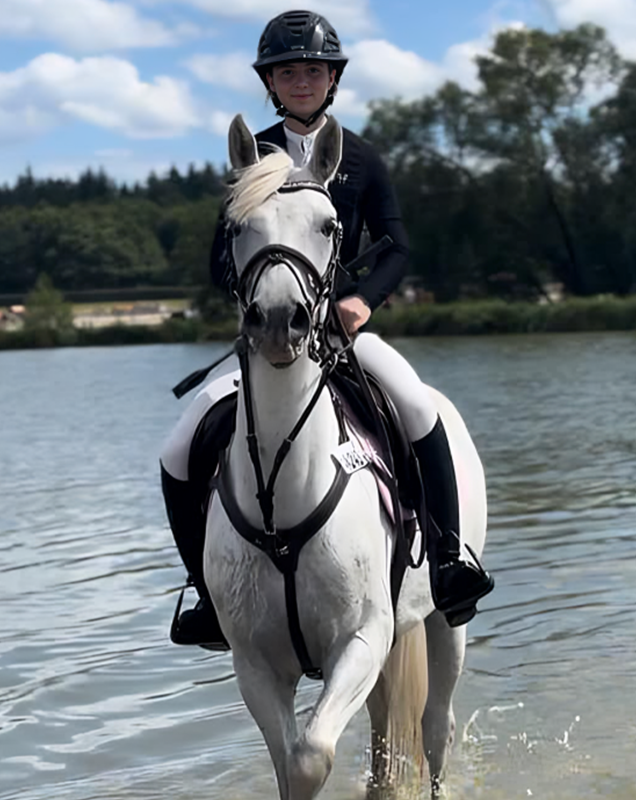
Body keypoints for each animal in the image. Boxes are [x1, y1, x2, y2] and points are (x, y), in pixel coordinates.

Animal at [204, 114, 486, 800]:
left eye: (329, 225)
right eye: (236, 227)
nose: (279, 320)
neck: (284, 491)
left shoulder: (361, 639)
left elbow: (311, 754)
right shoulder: (254, 663)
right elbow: (291, 761)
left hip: (446, 623)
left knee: (435, 728)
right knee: (389, 735)